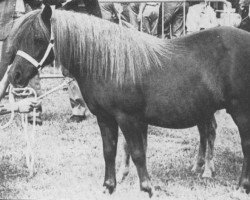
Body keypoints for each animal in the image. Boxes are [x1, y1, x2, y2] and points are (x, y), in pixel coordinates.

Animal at [5, 5, 250, 196]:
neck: (107, 65)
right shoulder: (105, 118)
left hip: (240, 112)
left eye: (38, 39)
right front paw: (109, 187)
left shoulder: (129, 119)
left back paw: (239, 186)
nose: (14, 76)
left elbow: (138, 153)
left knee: (243, 144)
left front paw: (147, 189)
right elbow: (110, 151)